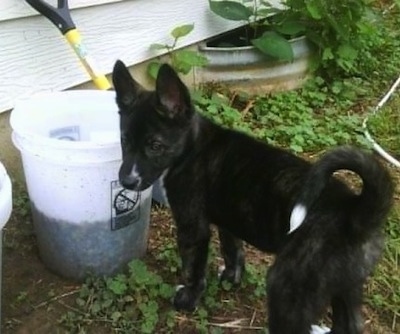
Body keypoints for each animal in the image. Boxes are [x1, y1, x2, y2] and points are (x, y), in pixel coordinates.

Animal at [111, 60, 392, 334]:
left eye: (155, 146)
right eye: (124, 140)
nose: (126, 181)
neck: (192, 146)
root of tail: (357, 210)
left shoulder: (193, 228)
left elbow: (193, 268)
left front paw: (188, 299)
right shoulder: (228, 222)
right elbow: (232, 250)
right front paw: (231, 278)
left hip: (288, 288)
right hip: (347, 284)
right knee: (349, 323)